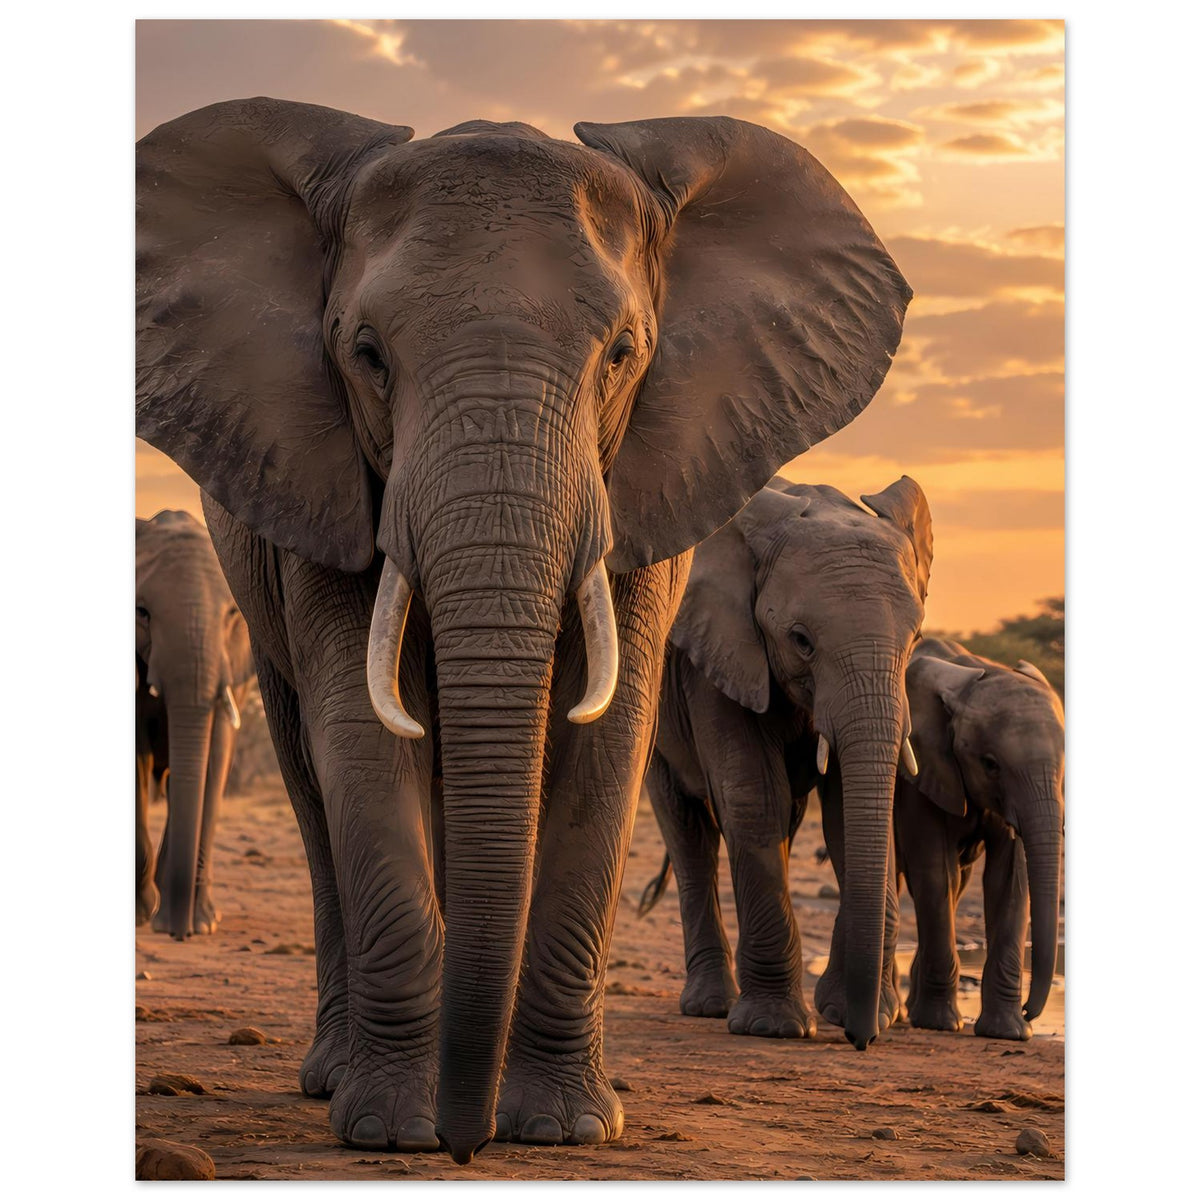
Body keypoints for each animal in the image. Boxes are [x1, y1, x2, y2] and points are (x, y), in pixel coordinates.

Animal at [136, 510, 253, 936]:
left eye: (234, 614)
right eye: (142, 613)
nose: (179, 933)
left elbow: (214, 758)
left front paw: (201, 924)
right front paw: (144, 915)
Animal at [640, 477, 931, 1050]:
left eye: (914, 639)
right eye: (801, 640)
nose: (862, 1040)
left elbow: (846, 811)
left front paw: (857, 1012)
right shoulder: (717, 657)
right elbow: (753, 796)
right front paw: (771, 1028)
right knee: (688, 831)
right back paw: (709, 1006)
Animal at [892, 637, 1065, 1040]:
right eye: (991, 764)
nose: (1030, 1010)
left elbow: (1009, 880)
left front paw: (1009, 1032)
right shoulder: (921, 773)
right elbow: (934, 873)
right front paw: (939, 1024)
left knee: (959, 884)